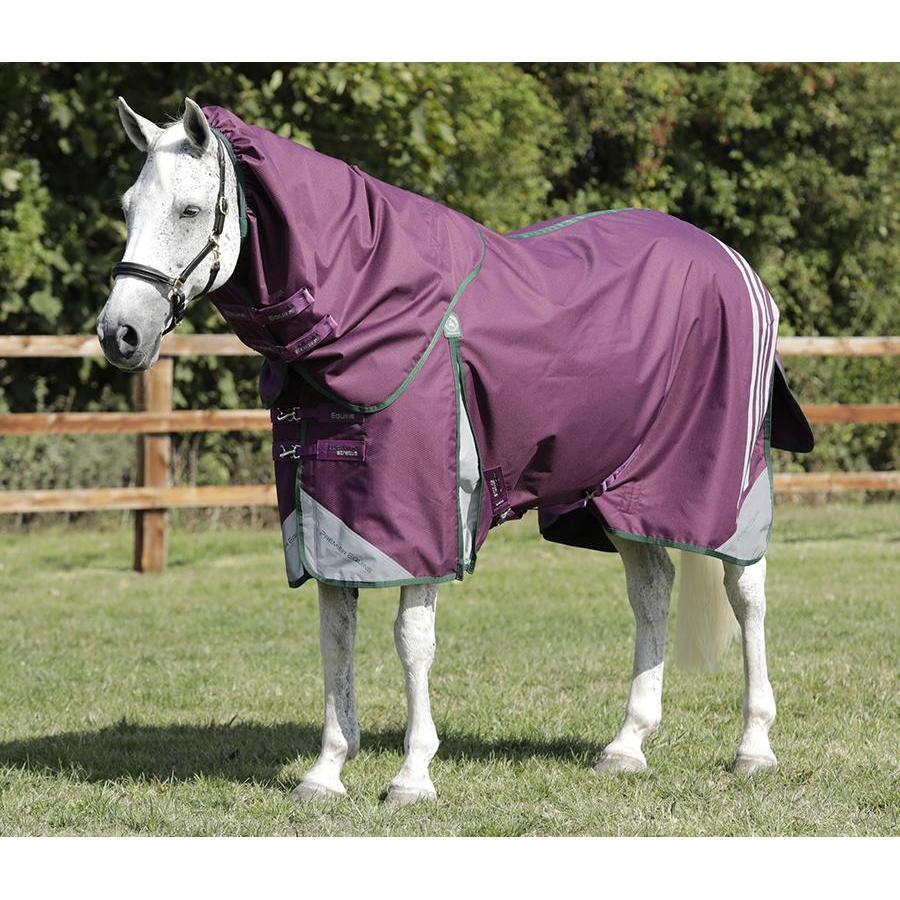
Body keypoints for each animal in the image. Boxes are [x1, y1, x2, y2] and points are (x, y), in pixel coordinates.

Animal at [97, 96, 813, 805]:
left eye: (190, 210)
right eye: (128, 206)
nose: (119, 333)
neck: (371, 305)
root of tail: (736, 264)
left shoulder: (423, 521)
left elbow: (411, 640)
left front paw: (413, 775)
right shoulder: (329, 515)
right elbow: (335, 635)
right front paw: (326, 772)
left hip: (719, 483)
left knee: (747, 591)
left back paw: (753, 747)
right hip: (619, 491)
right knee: (653, 590)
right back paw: (627, 746)